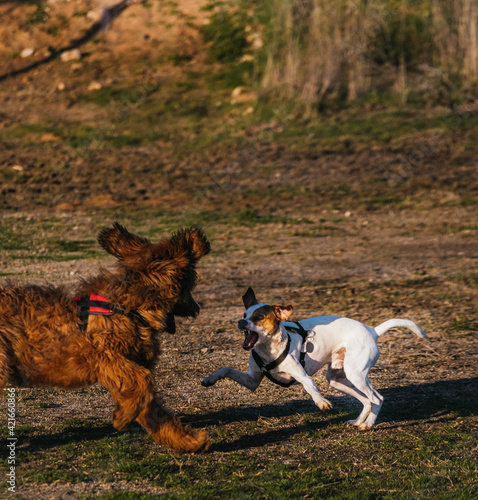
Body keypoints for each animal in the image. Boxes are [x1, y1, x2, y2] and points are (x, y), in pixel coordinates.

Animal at [0, 225, 211, 456]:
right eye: (189, 284)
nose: (197, 308)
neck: (128, 308)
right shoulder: (105, 357)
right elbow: (143, 380)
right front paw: (122, 418)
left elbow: (153, 408)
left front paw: (188, 442)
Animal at [202, 288, 426, 432]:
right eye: (244, 313)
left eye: (258, 317)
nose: (241, 322)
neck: (268, 350)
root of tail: (372, 330)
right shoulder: (252, 380)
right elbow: (226, 369)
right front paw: (210, 379)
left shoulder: (301, 375)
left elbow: (310, 387)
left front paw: (321, 402)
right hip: (338, 379)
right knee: (366, 400)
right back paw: (357, 422)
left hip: (356, 374)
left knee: (377, 399)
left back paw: (368, 425)